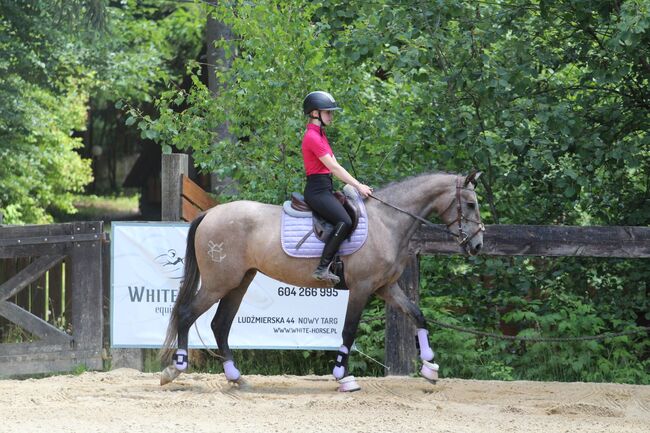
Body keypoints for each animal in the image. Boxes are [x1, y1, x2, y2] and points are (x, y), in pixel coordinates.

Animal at [159, 170, 484, 392]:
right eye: (470, 204)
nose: (478, 245)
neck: (386, 222)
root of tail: (210, 213)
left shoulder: (386, 287)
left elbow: (418, 315)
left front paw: (430, 367)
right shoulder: (362, 289)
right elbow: (349, 331)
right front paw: (344, 377)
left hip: (239, 282)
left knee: (220, 325)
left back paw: (235, 377)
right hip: (219, 282)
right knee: (187, 314)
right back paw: (175, 369)